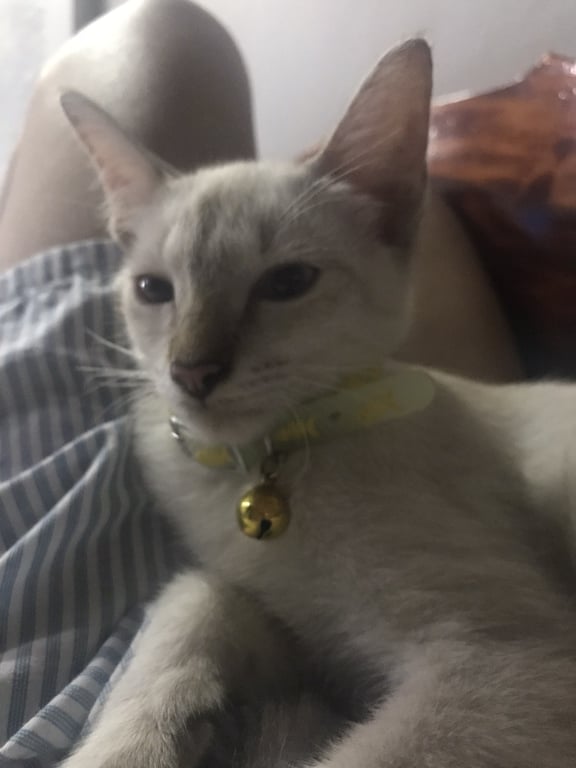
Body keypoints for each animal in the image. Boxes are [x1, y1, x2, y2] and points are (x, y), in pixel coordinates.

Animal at [59, 39, 576, 768]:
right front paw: (137, 744)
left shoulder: (503, 659)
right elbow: (191, 600)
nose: (192, 371)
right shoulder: (296, 628)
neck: (254, 470)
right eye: (153, 290)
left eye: (288, 283)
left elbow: (355, 756)